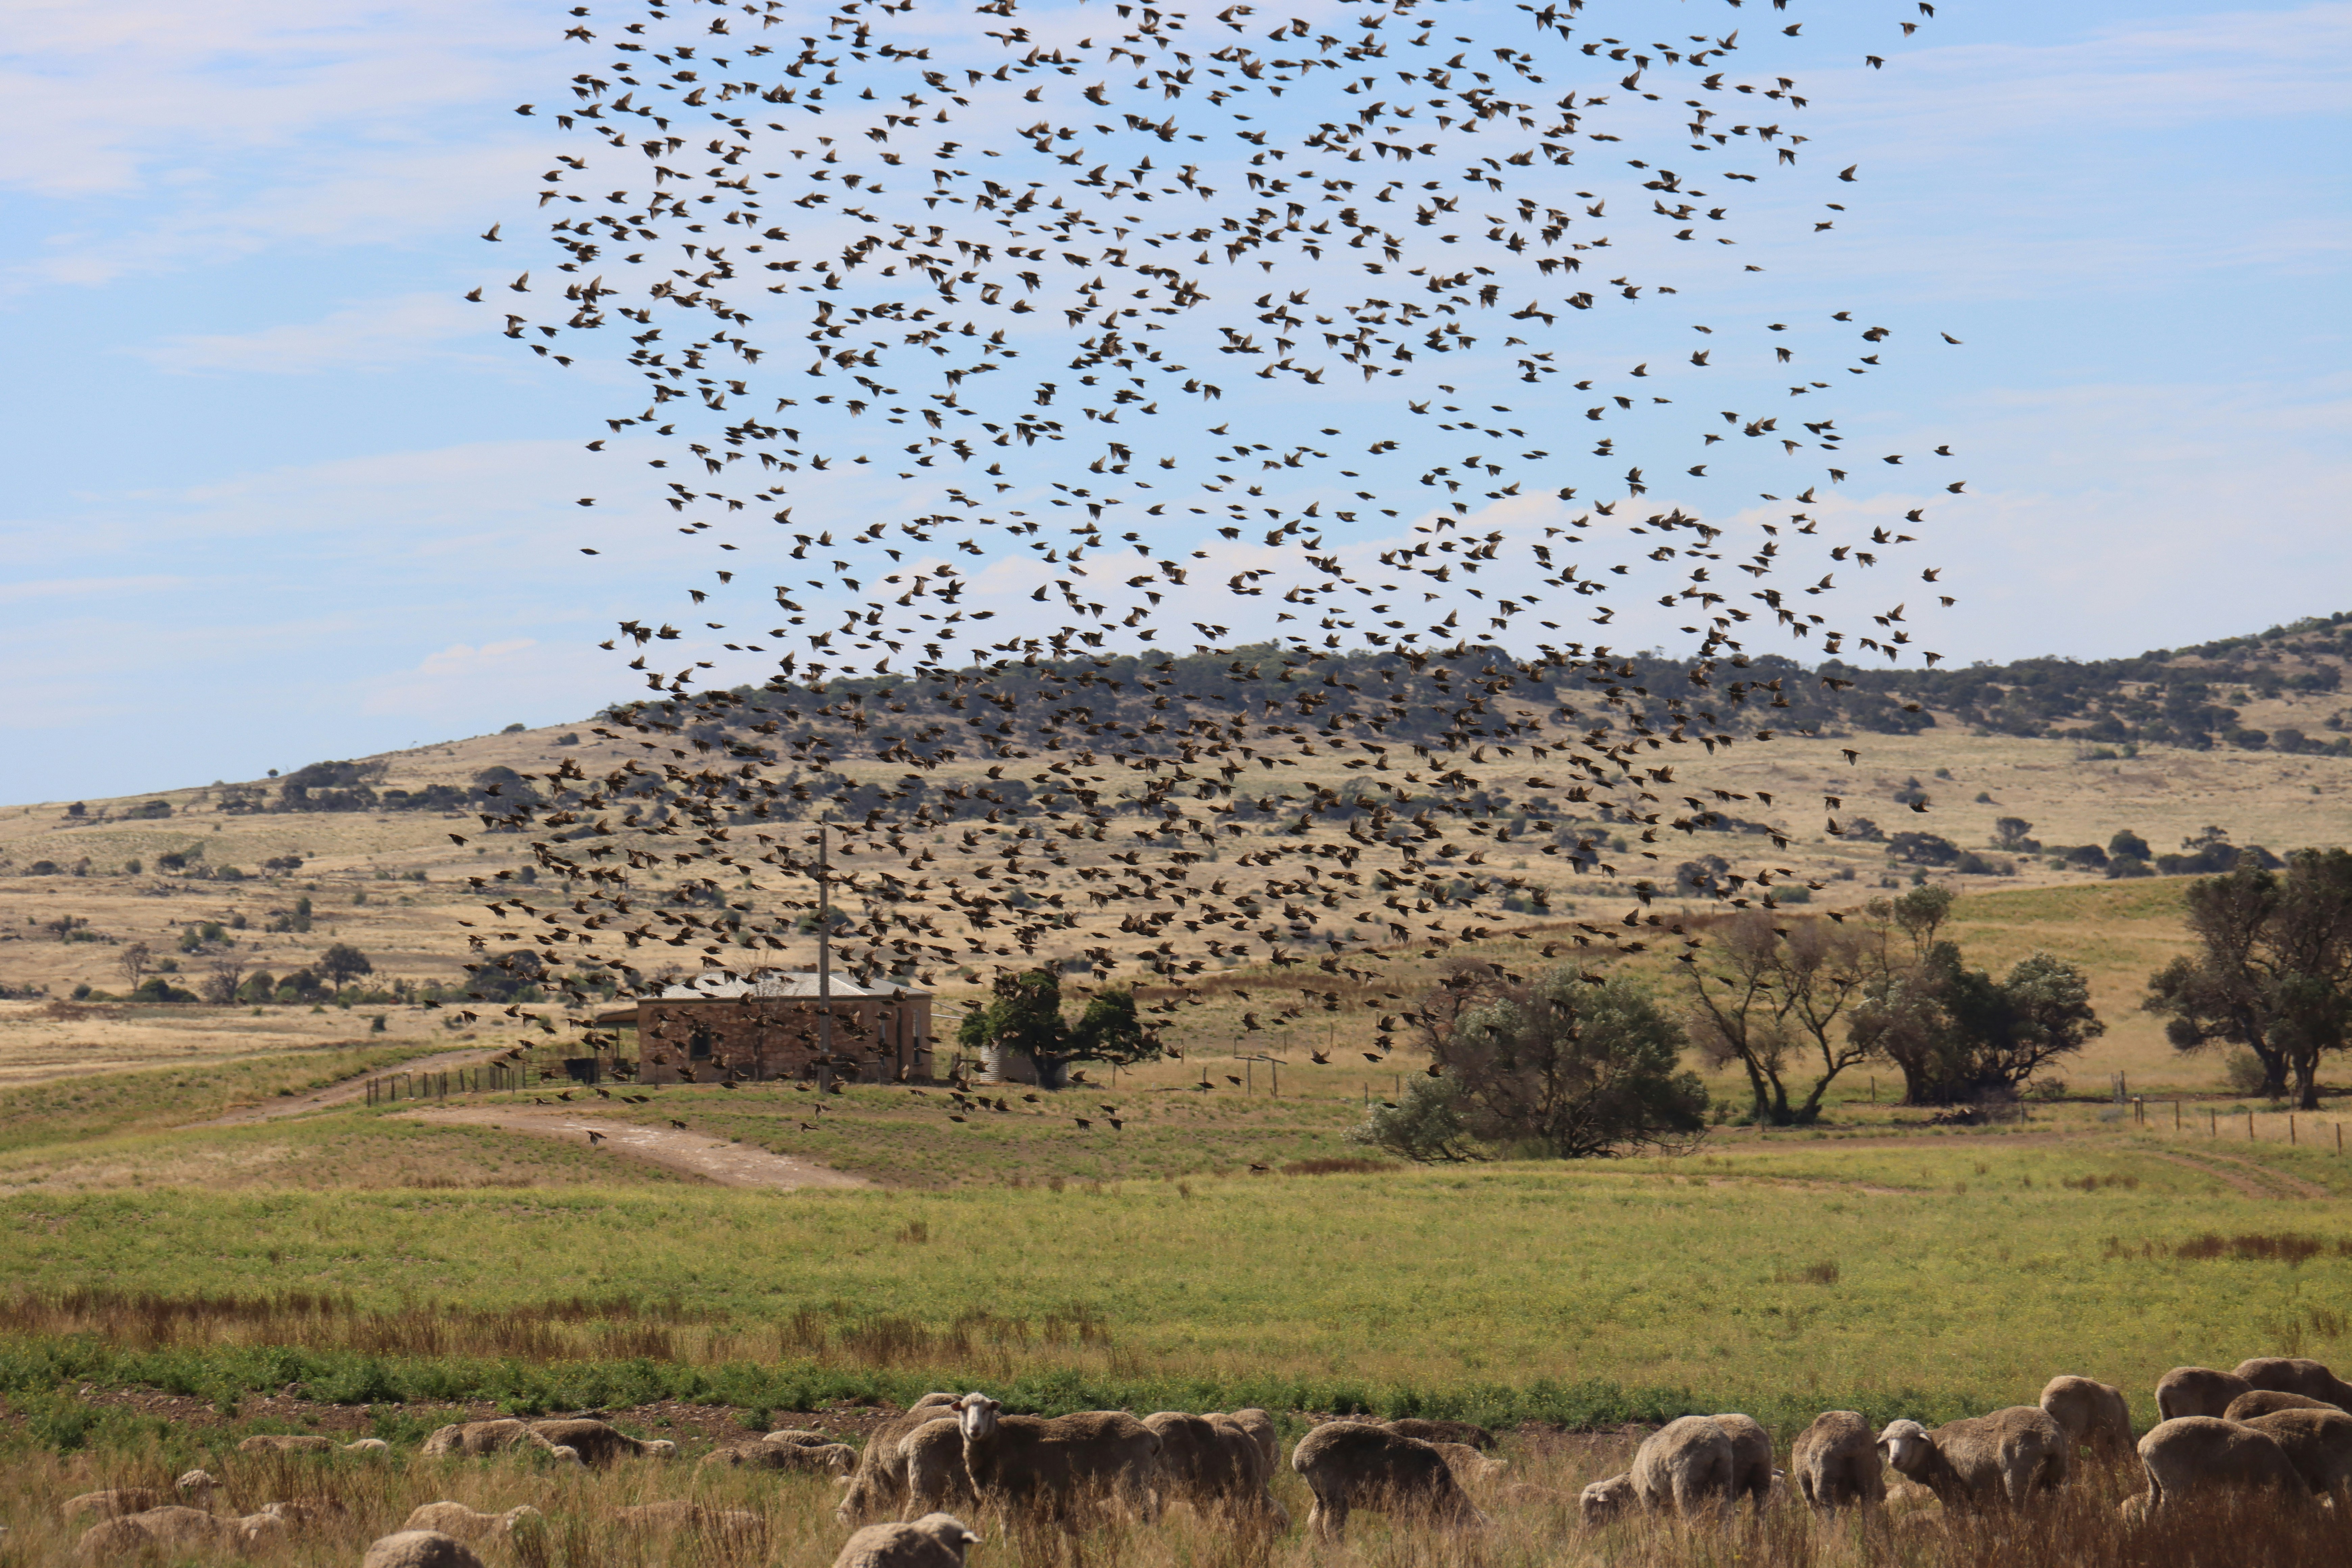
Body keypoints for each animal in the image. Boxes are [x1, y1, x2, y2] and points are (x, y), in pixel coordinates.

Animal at [955, 1393, 1162, 1524]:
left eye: (987, 1410)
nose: (975, 1429)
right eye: (963, 1410)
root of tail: (1151, 1435)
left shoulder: (1011, 1497)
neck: (999, 1440)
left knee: (1144, 1516)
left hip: (1132, 1481)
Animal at [1291, 1418, 1481, 1540]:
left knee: (1314, 1522)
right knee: (1331, 1526)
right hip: (1334, 1487)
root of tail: (1301, 1458)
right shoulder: (1407, 1503)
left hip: (1319, 1491)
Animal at [1791, 1410, 1885, 1514]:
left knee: (1824, 1500)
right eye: (1879, 1469)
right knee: (1868, 1497)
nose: (1883, 1495)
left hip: (1826, 1466)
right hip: (1865, 1462)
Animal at [1876, 1408, 2067, 1510]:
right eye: (1888, 1441)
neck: (1931, 1453)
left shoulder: (1953, 1493)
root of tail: (2048, 1435)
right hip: (2059, 1476)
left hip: (2020, 1478)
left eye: (1911, 1439)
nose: (1895, 1459)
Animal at [2132, 1416, 2305, 1512]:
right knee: (2165, 1509)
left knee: (2149, 1507)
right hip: (2174, 1480)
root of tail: (2144, 1444)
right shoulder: (2243, 1485)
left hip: (2154, 1478)